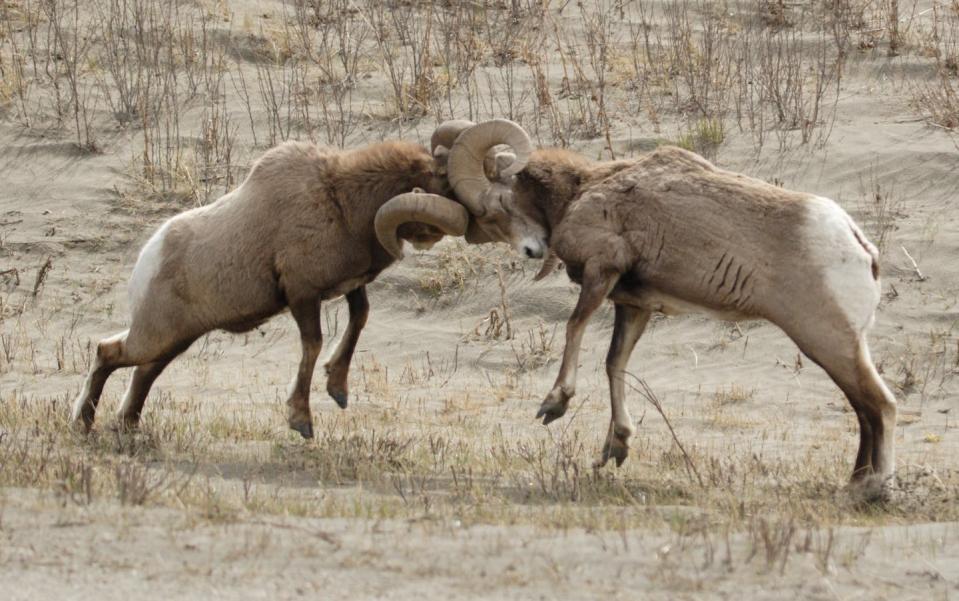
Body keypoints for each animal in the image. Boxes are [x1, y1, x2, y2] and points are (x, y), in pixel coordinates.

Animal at [73, 123, 540, 440]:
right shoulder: (302, 294)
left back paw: (125, 425)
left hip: (174, 341)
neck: (342, 203)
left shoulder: (349, 287)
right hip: (155, 337)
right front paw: (302, 420)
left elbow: (359, 319)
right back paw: (84, 423)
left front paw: (339, 390)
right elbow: (312, 345)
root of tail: (148, 258)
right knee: (107, 353)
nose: (532, 245)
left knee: (141, 374)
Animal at [446, 120, 896, 488]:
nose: (531, 251)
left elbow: (574, 328)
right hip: (839, 346)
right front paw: (616, 448)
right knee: (865, 410)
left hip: (827, 342)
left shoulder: (601, 271)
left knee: (880, 406)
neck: (582, 191)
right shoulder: (634, 306)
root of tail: (860, 246)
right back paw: (857, 484)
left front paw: (554, 404)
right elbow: (614, 364)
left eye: (496, 206)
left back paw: (870, 489)